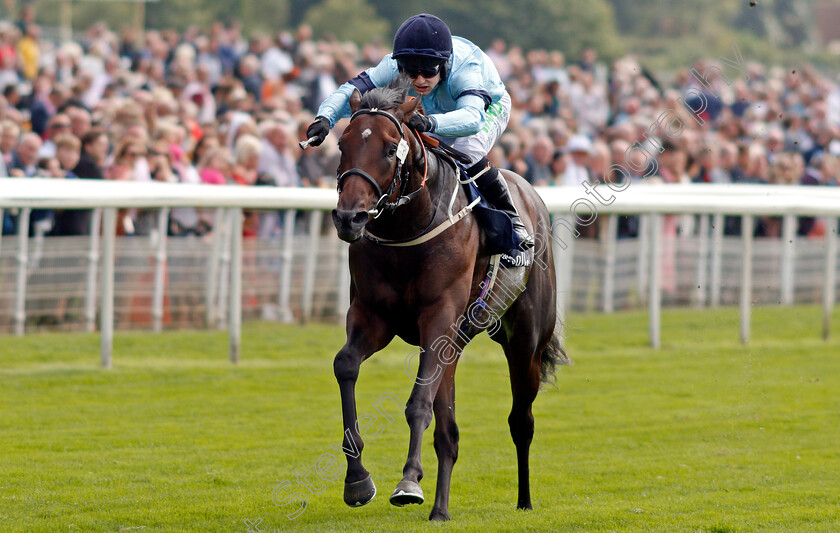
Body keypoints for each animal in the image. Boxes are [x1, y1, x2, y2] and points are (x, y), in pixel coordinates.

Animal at [326, 76, 564, 520]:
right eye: (342, 144)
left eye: (390, 148)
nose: (350, 218)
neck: (408, 227)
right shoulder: (372, 317)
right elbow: (345, 365)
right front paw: (357, 481)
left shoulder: (438, 318)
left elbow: (418, 401)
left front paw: (407, 482)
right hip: (454, 344)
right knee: (449, 433)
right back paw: (441, 510)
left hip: (525, 343)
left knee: (521, 421)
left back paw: (523, 500)